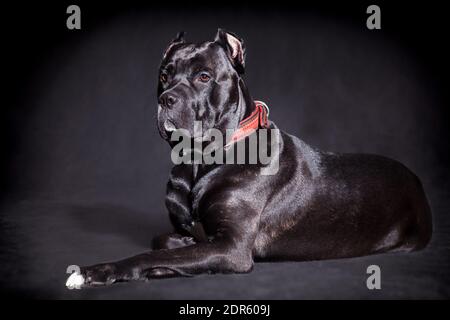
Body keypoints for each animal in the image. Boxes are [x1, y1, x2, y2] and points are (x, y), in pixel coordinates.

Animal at [66, 29, 432, 288]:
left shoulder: (232, 247)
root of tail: (415, 179)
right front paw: (178, 247)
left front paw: (101, 271)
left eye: (203, 77)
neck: (202, 159)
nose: (167, 98)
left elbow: (147, 255)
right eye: (164, 76)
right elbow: (163, 240)